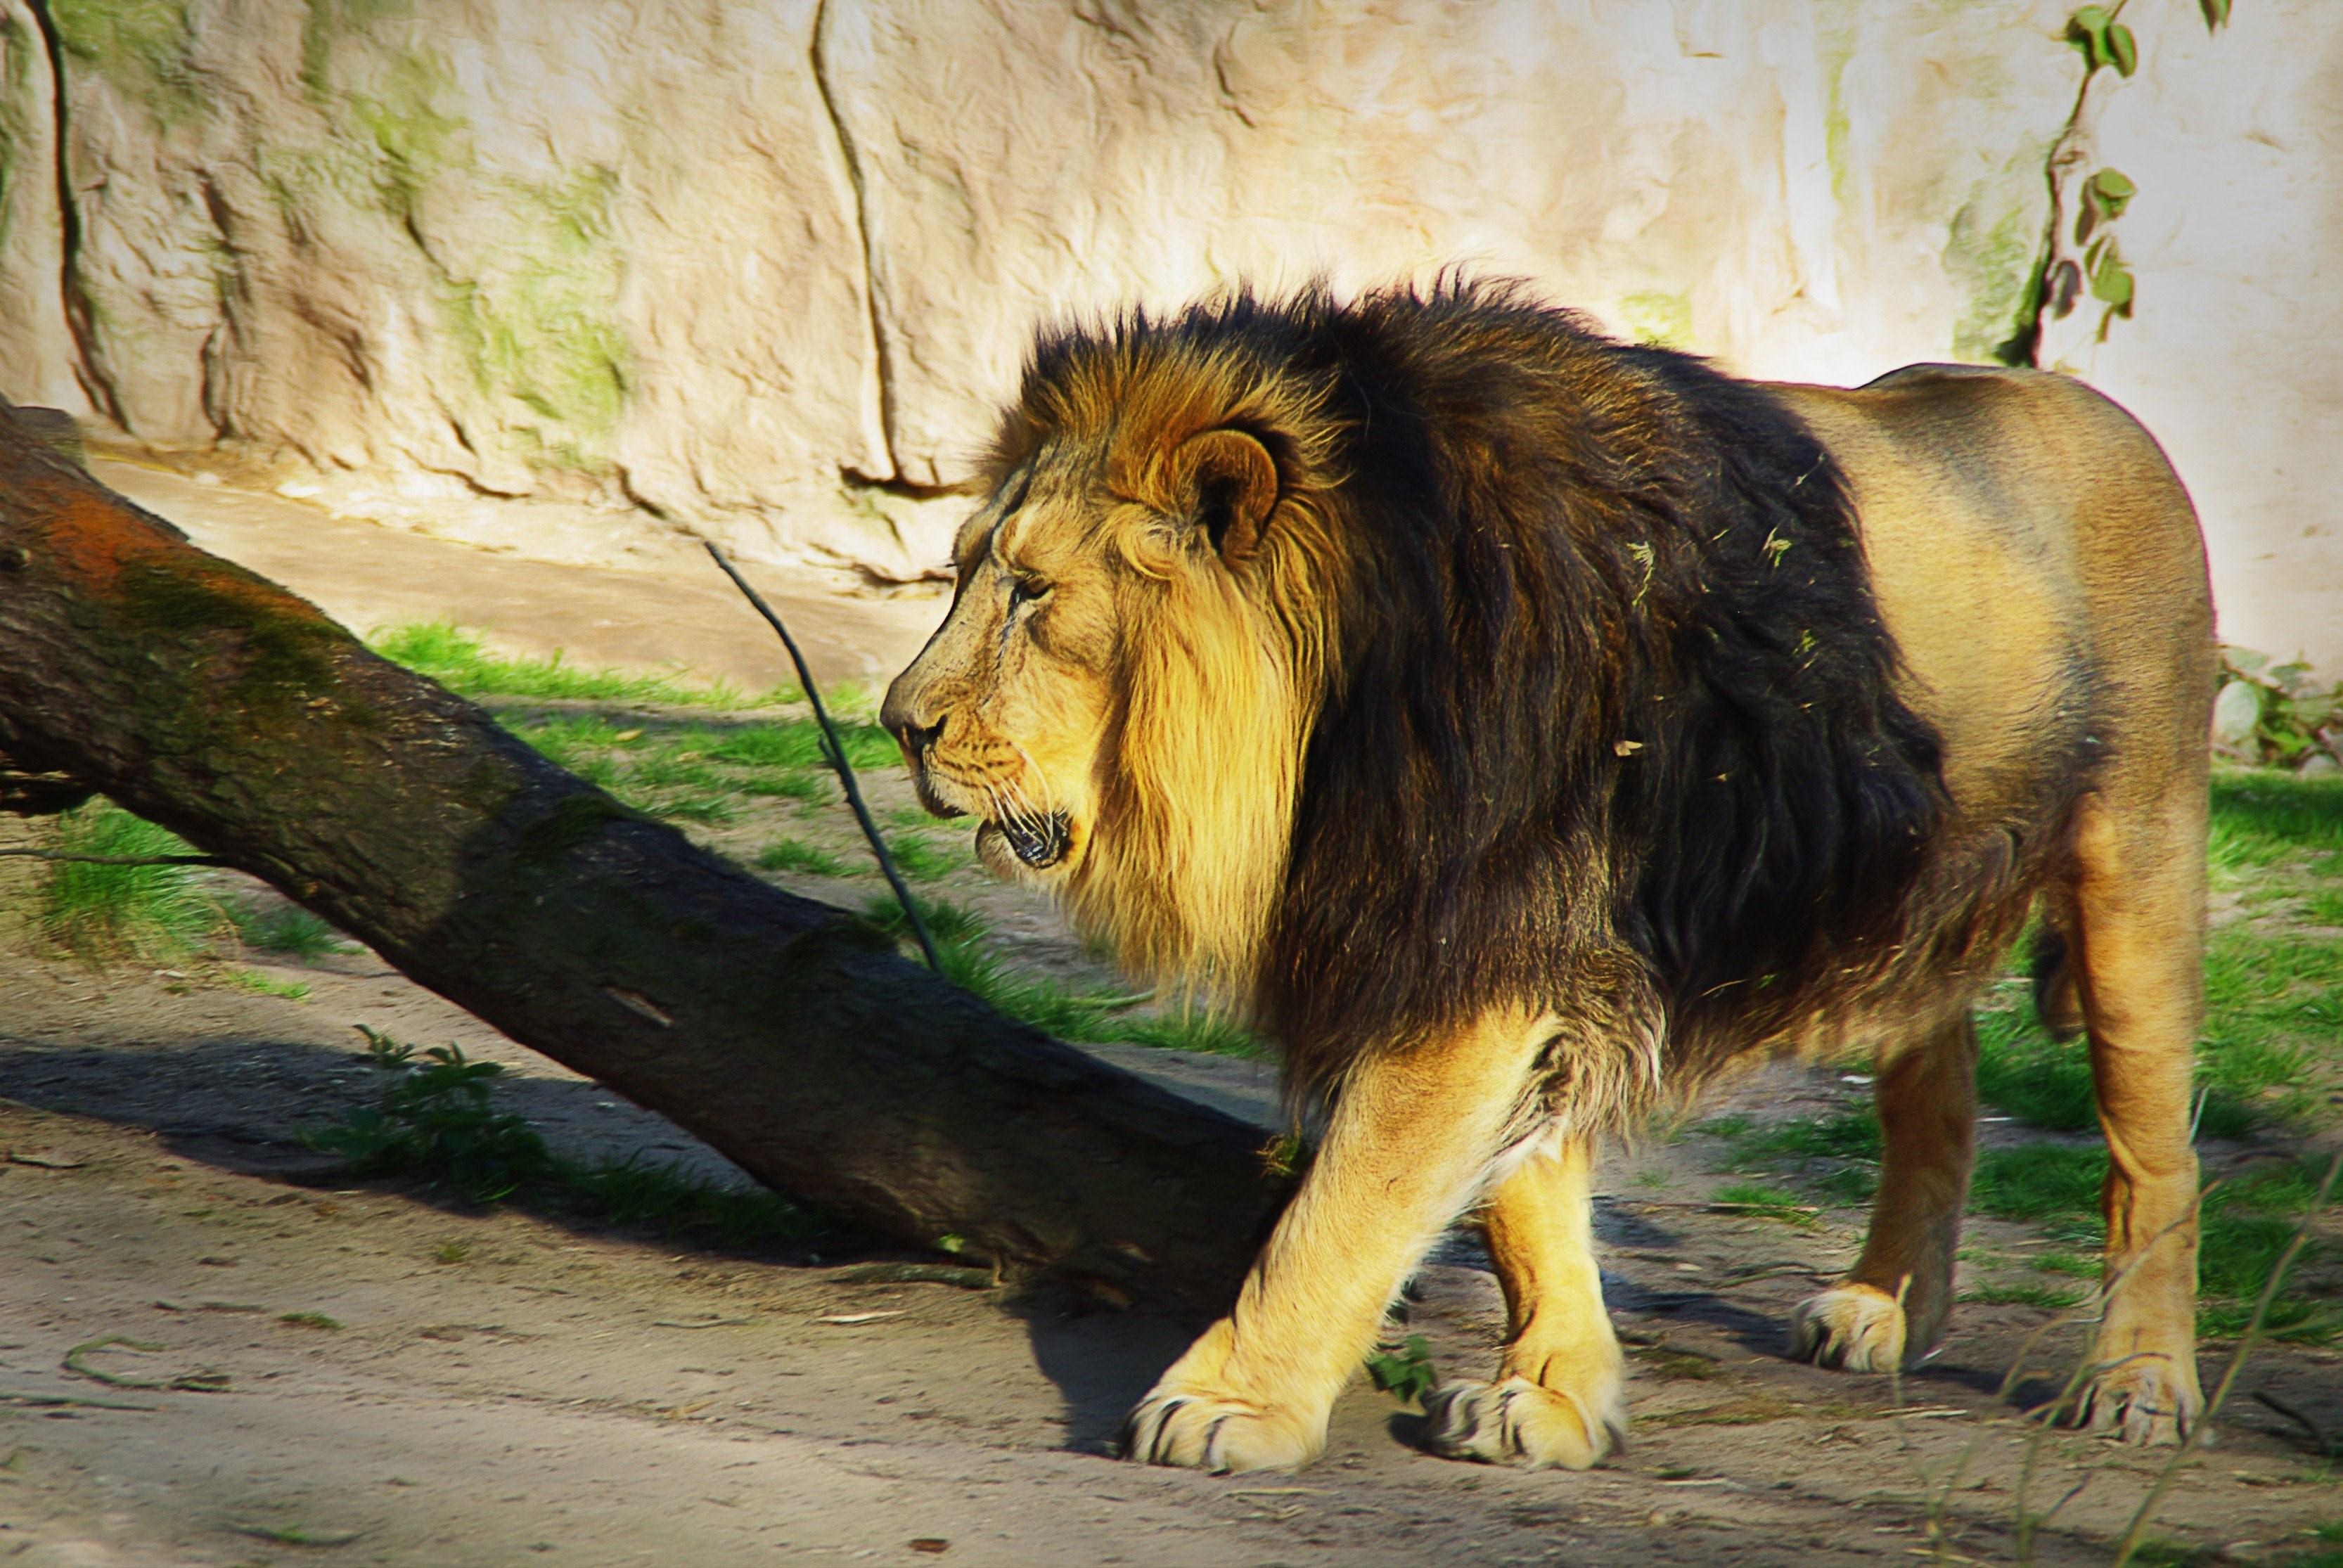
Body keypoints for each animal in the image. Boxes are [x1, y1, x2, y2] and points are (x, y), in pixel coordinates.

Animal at [880, 281, 2212, 1472]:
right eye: (966, 572)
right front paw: (1556, 1397)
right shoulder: (1514, 938)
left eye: (1034, 595)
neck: (1343, 691)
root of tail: (2098, 406)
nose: (899, 724)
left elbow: (1343, 1209)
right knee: (1937, 1086)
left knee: (2154, 1150)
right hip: (1900, 890)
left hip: (2139, 857)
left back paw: (2137, 1384)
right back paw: (1887, 1308)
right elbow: (1522, 1198)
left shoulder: (1487, 934)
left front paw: (1228, 1405)